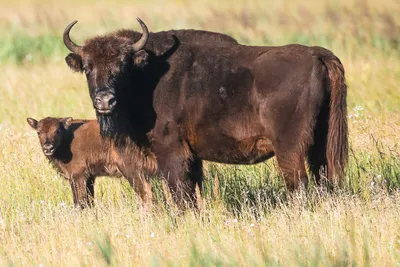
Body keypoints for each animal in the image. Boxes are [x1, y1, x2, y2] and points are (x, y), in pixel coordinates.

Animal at [27, 118, 156, 209]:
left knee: (145, 192)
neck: (66, 140)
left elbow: (79, 201)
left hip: (131, 170)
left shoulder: (78, 176)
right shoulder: (89, 178)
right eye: (38, 132)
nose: (48, 147)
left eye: (57, 131)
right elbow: (89, 201)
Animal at [62, 18, 346, 207]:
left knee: (298, 184)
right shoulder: (193, 157)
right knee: (324, 177)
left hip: (289, 149)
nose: (105, 100)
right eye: (87, 67)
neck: (146, 73)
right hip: (321, 144)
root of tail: (315, 54)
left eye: (122, 65)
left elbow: (181, 195)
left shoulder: (172, 153)